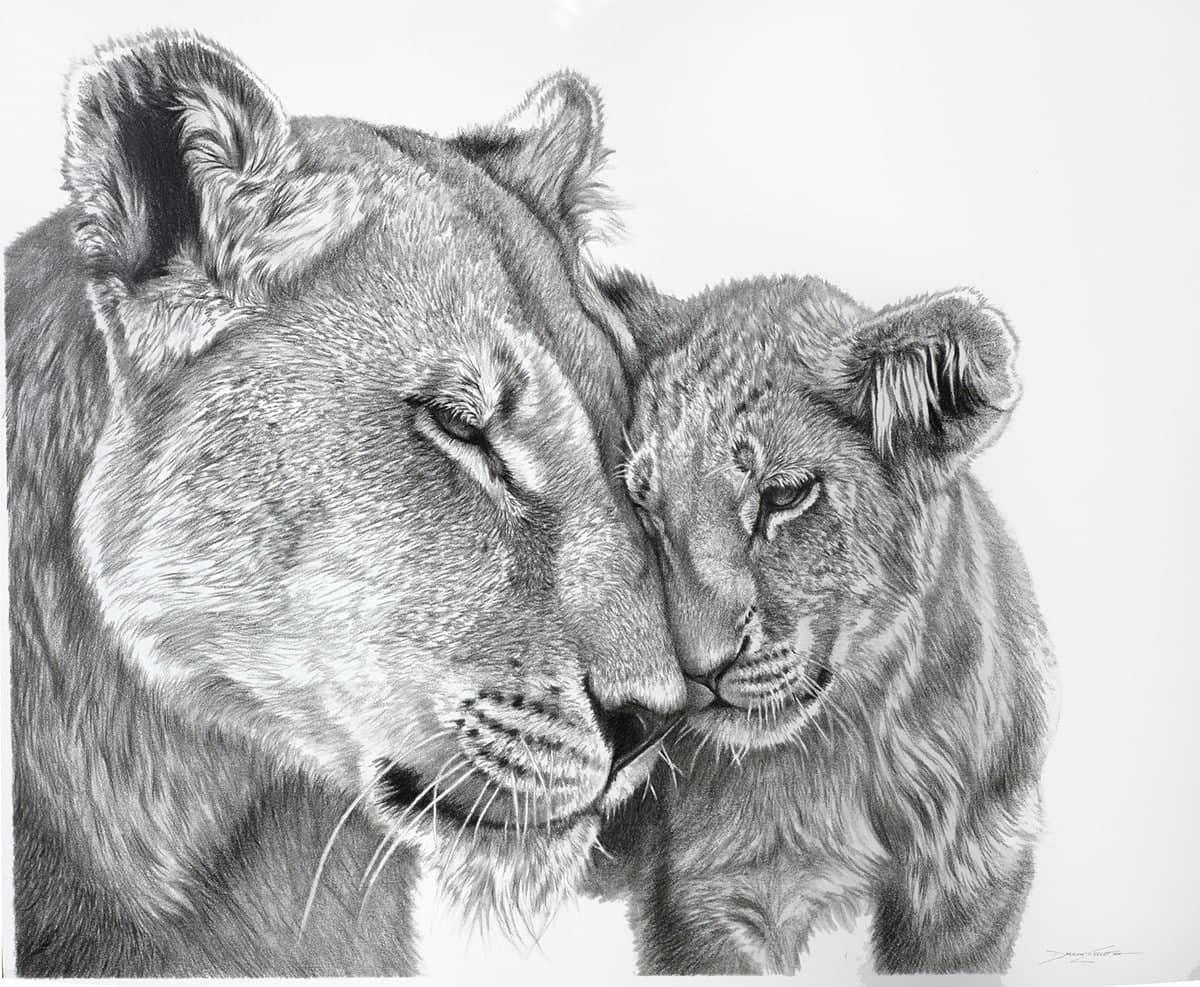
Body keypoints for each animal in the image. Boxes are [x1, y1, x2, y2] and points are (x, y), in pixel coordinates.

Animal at [588, 271, 1058, 974]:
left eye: (785, 495)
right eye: (646, 508)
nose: (698, 672)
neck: (864, 744)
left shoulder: (976, 875)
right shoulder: (708, 897)